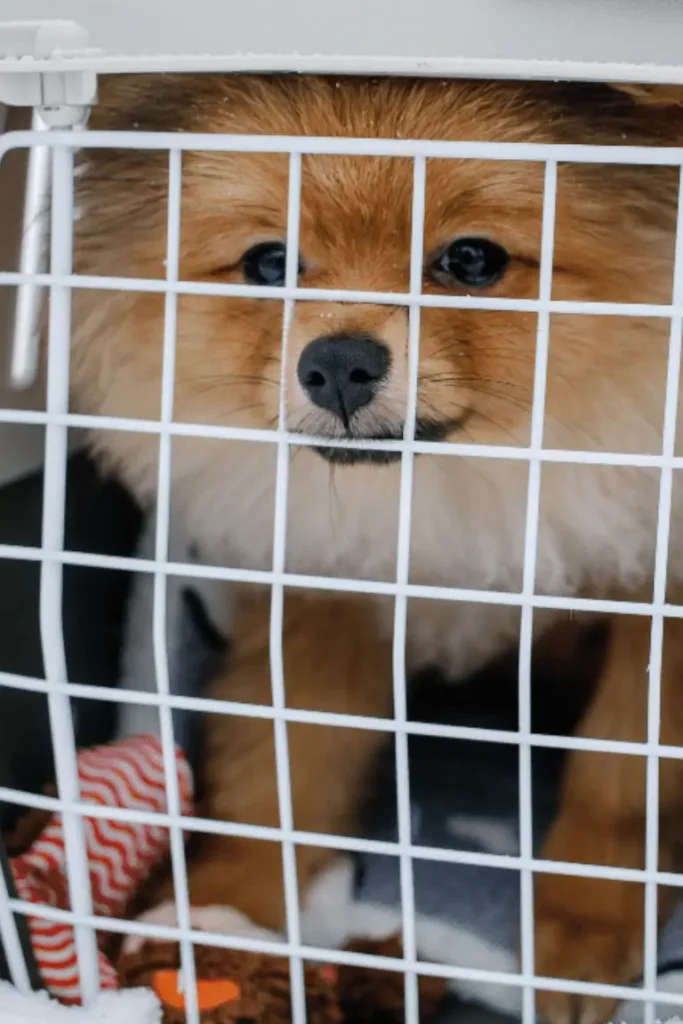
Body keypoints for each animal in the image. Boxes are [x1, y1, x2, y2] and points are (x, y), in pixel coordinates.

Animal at [70, 75, 683, 1019]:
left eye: (471, 261)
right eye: (270, 264)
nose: (336, 362)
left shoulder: (653, 597)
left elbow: (624, 780)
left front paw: (579, 936)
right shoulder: (325, 591)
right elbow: (284, 759)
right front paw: (226, 908)